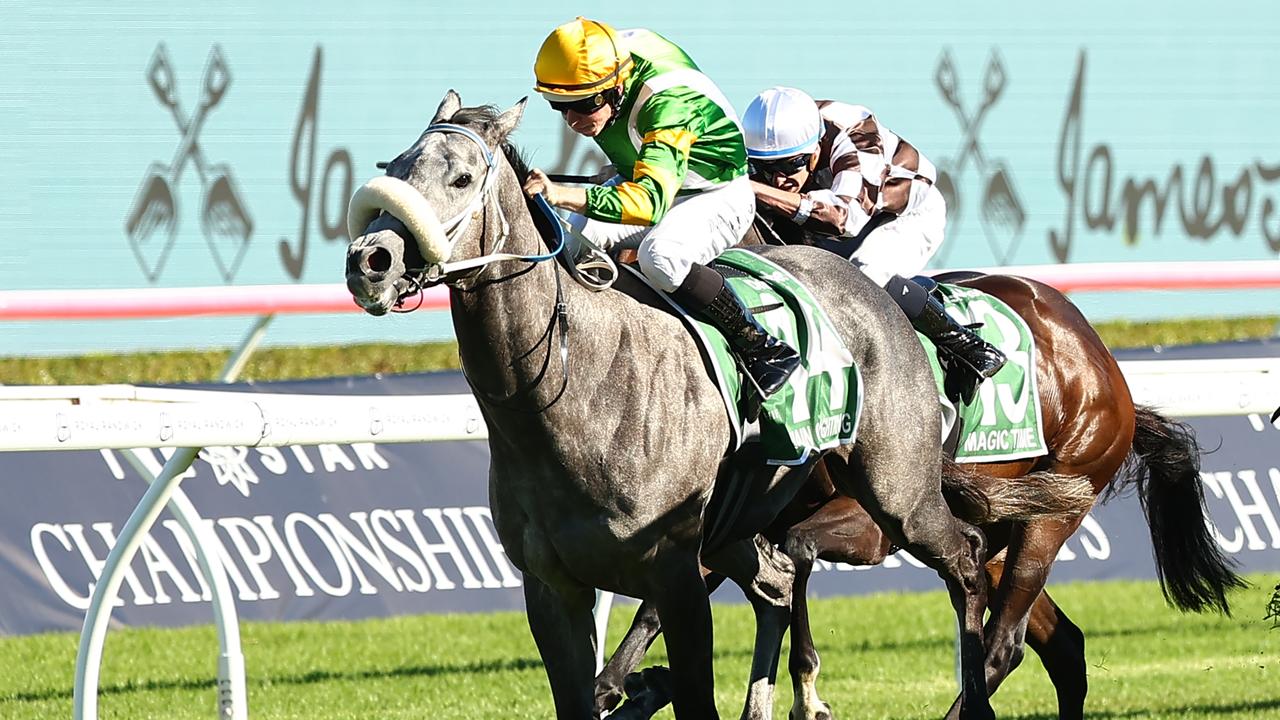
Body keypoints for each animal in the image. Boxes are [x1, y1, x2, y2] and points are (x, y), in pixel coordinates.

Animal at [343, 92, 1090, 712]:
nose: (370, 260)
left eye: (461, 178)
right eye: (396, 167)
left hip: (898, 490)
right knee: (782, 583)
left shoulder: (674, 573)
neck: (569, 391)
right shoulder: (552, 589)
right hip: (747, 526)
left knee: (965, 562)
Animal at [593, 226, 1244, 712]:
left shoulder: (873, 520)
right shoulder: (725, 518)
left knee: (1003, 643)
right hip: (999, 528)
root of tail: (1102, 358)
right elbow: (667, 597)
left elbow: (794, 552)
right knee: (1061, 644)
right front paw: (619, 685)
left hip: (1052, 509)